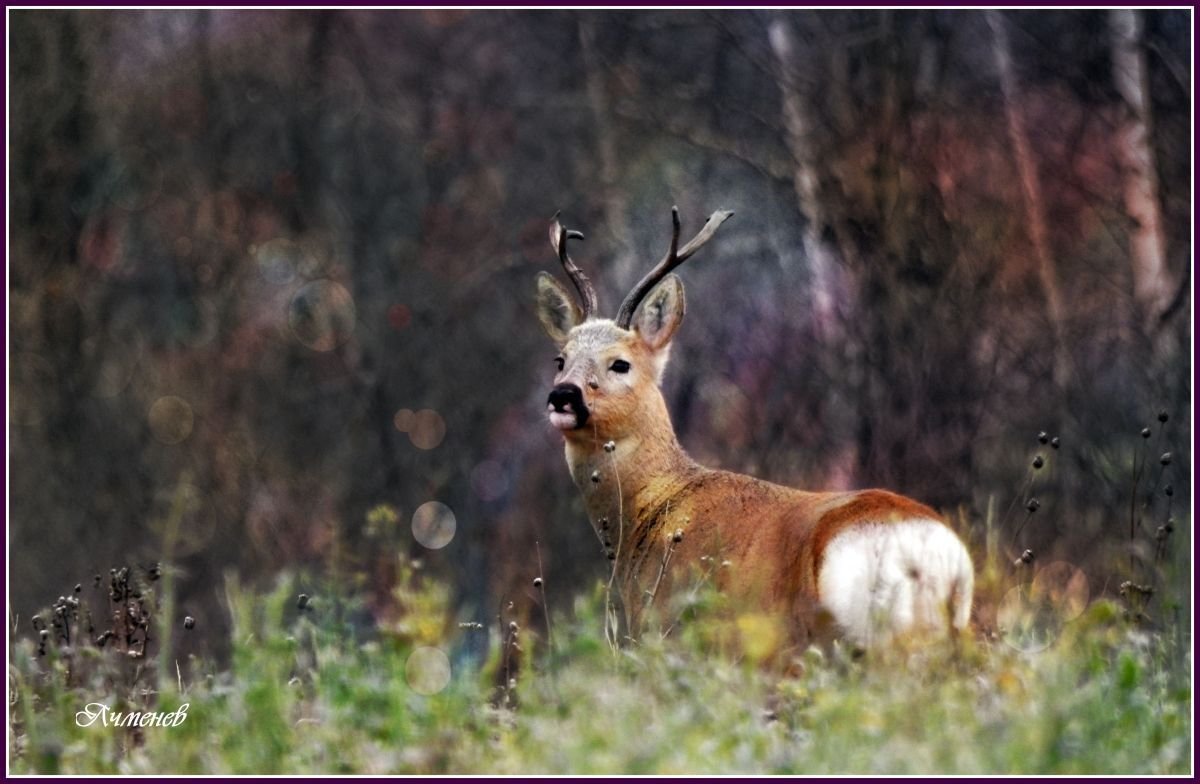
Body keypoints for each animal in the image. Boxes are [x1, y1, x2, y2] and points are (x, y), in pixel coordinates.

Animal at [537, 206, 974, 648]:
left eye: (621, 363)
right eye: (560, 359)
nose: (563, 396)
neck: (655, 504)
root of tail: (942, 558)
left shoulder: (672, 626)